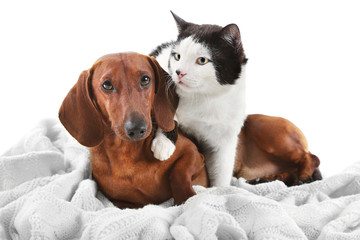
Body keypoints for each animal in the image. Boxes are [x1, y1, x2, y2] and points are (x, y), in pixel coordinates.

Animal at [150, 12, 249, 187]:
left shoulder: (226, 137)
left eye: (202, 60)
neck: (204, 98)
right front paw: (163, 145)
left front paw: (222, 191)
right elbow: (167, 113)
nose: (178, 72)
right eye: (177, 56)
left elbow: (222, 169)